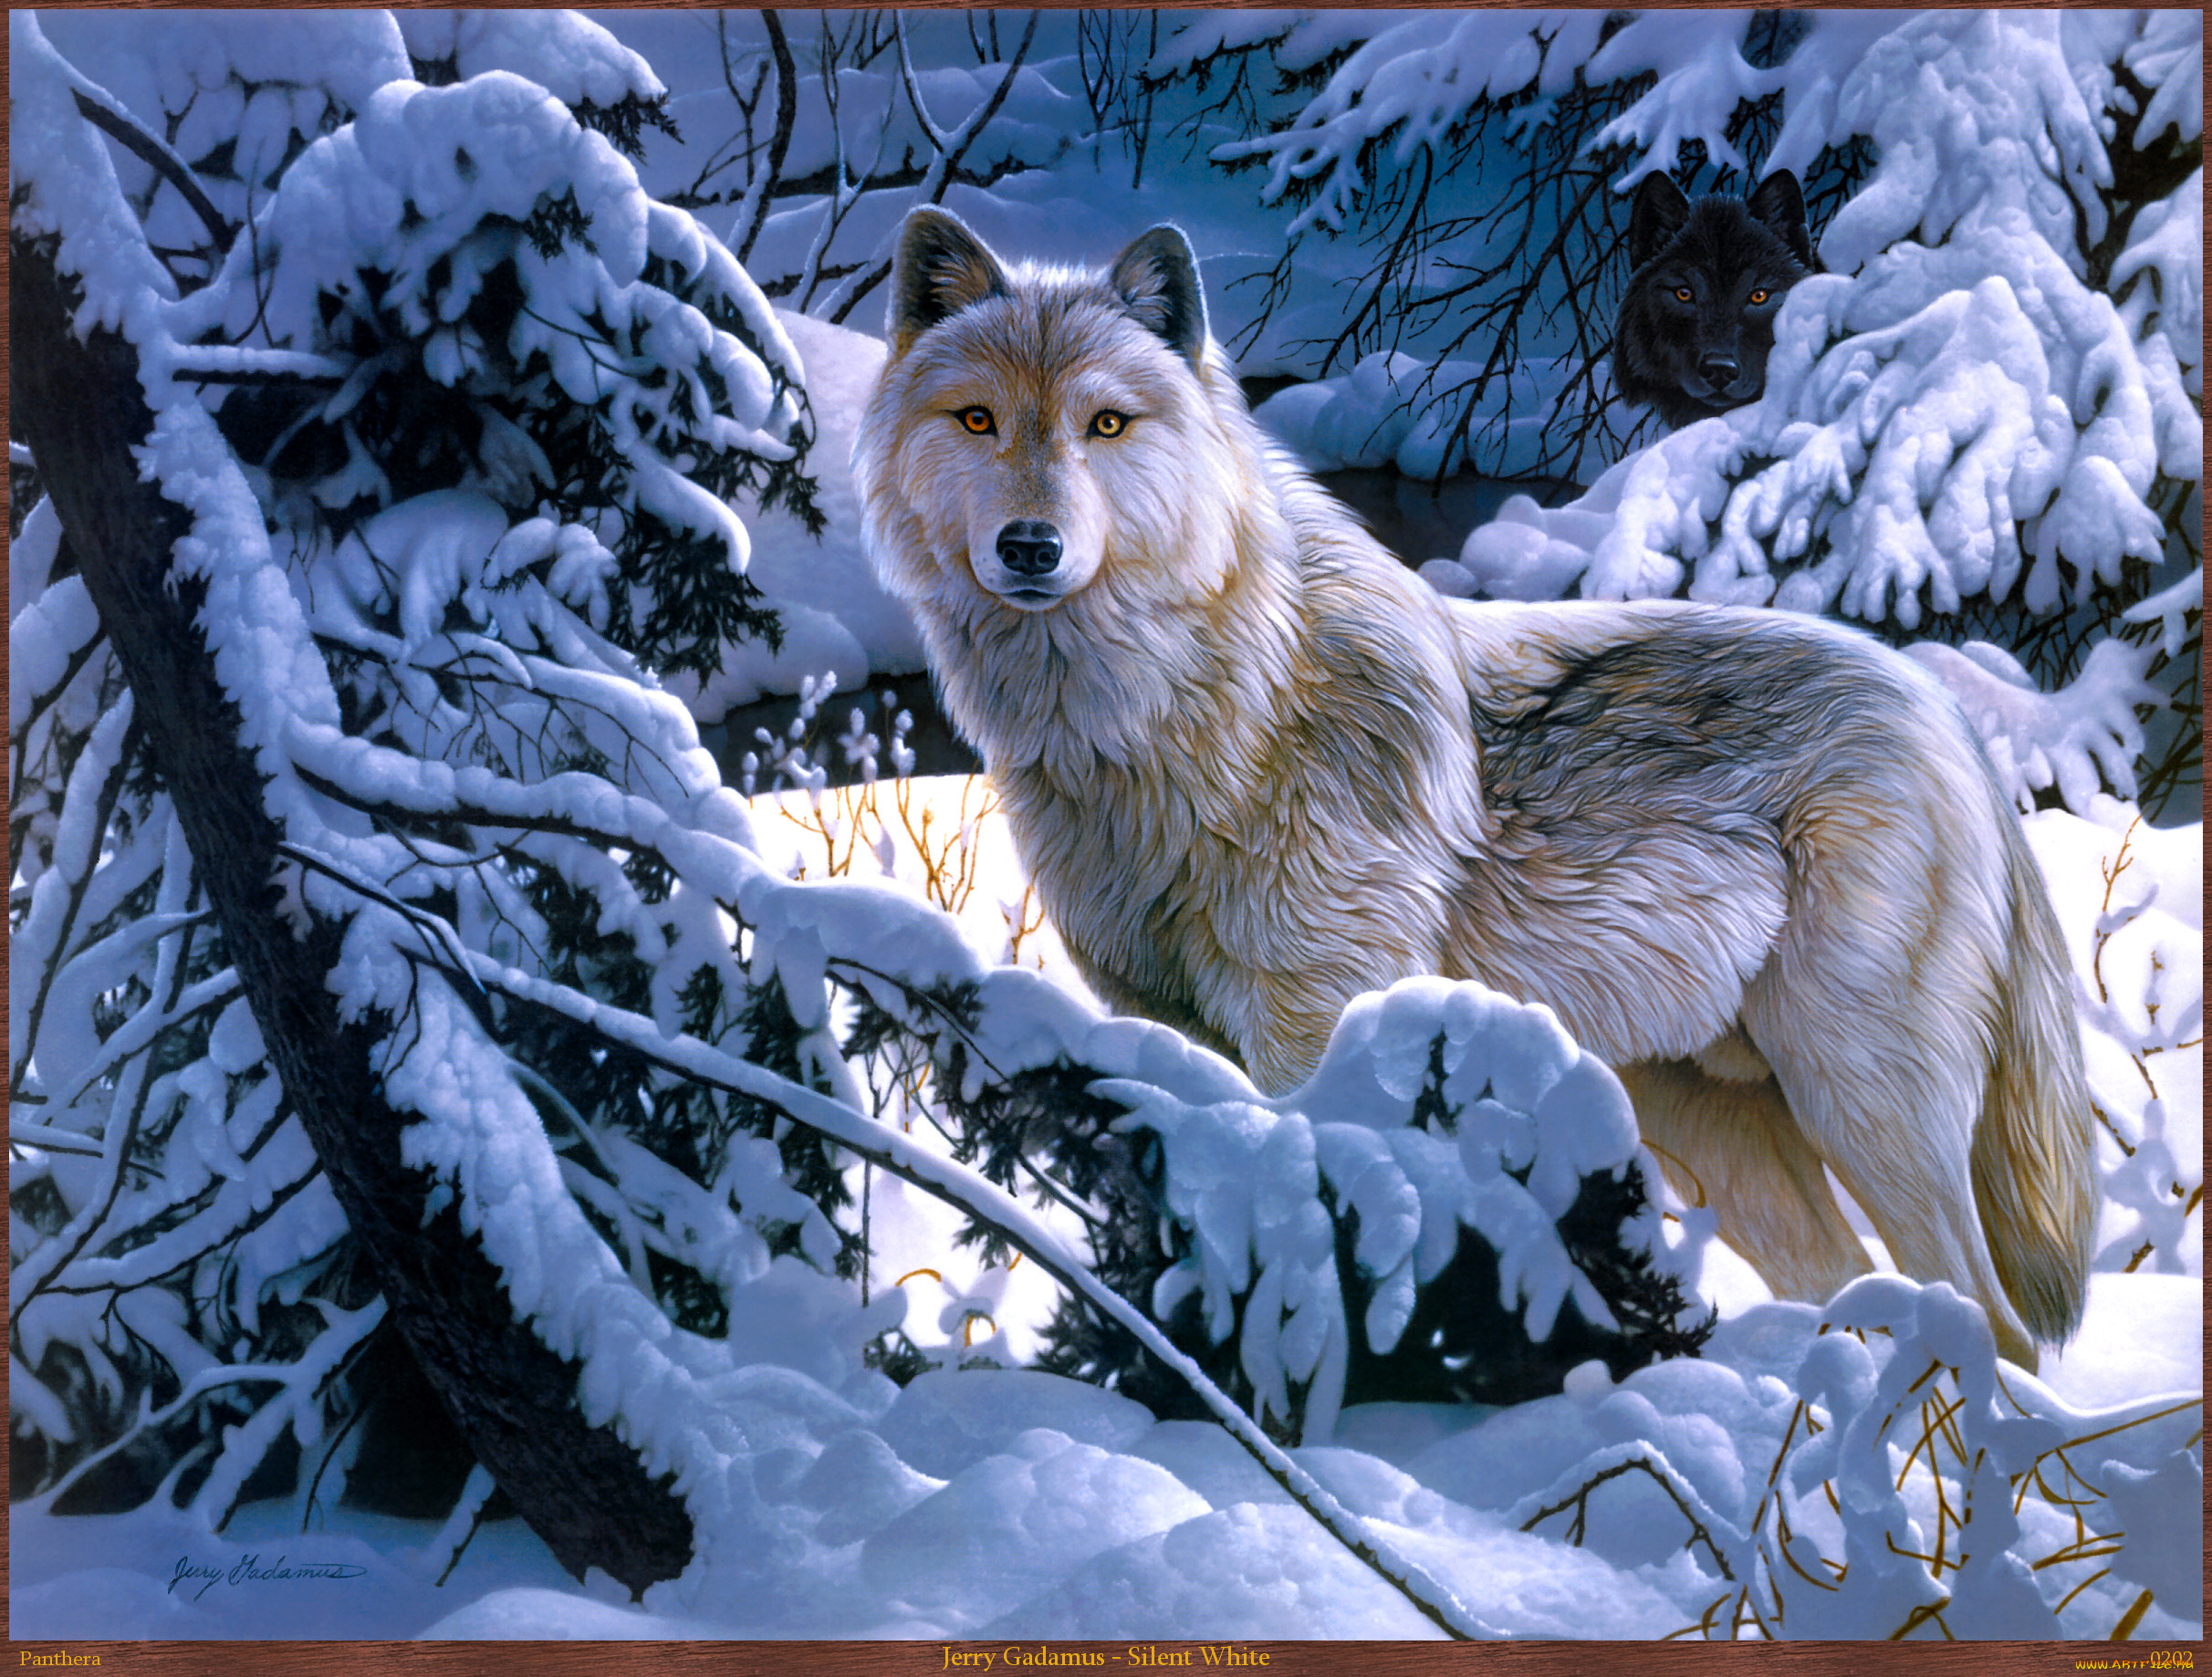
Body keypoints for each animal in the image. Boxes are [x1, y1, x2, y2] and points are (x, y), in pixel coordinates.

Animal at [853, 208, 2096, 1370]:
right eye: (978, 419)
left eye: (1106, 424)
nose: (1029, 546)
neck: (1182, 720)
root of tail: (1946, 715)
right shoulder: (1169, 1033)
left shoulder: (1317, 1031)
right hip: (1716, 1131)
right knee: (1855, 1293)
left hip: (1860, 1102)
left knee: (1995, 1325)